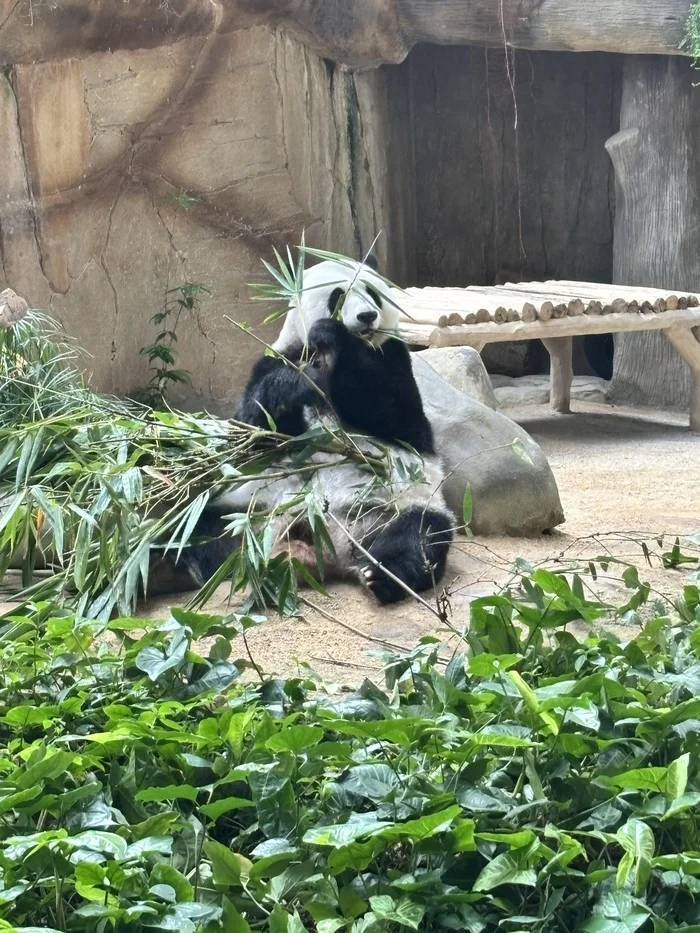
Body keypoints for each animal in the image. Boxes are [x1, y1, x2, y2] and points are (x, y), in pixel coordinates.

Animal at [175, 255, 454, 605]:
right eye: (339, 295)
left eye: (372, 293)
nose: (367, 316)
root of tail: (321, 547)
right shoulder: (280, 356)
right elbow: (254, 430)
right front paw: (296, 384)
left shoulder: (393, 356)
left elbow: (399, 417)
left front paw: (334, 335)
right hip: (247, 508)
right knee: (201, 528)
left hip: (399, 504)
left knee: (418, 535)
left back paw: (382, 575)